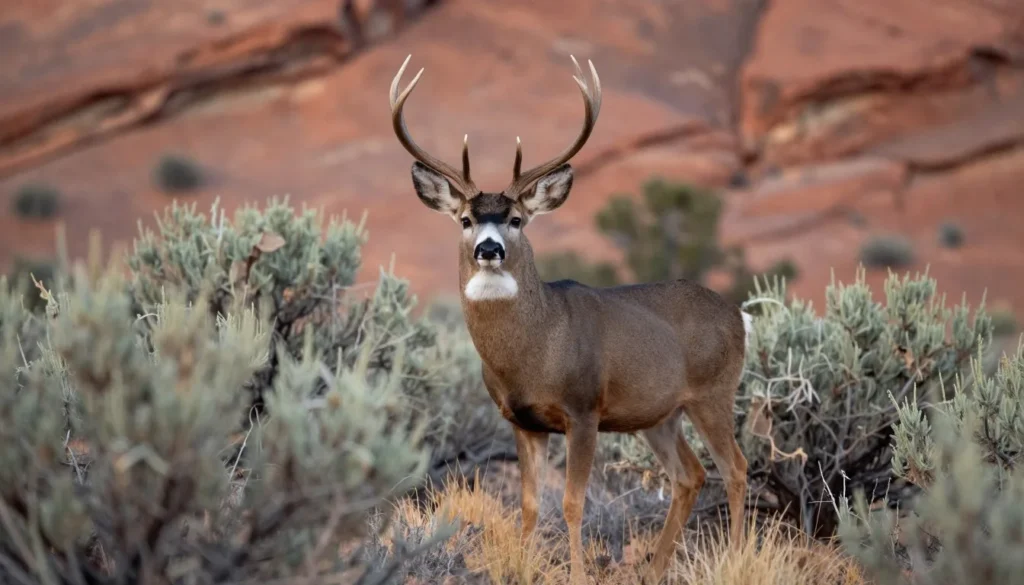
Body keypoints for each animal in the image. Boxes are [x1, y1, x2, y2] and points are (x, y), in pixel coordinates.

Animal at [389, 54, 751, 585]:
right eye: (466, 220)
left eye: (516, 219)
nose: (490, 249)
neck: (534, 353)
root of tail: (739, 314)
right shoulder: (522, 421)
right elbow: (528, 505)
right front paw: (521, 567)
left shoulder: (583, 409)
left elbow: (572, 503)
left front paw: (577, 573)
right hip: (660, 413)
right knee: (691, 475)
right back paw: (654, 570)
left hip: (714, 391)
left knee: (736, 468)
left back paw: (735, 561)